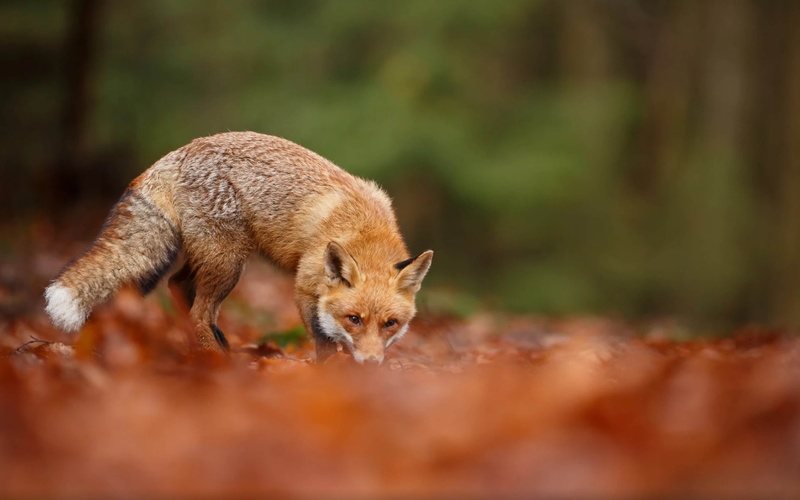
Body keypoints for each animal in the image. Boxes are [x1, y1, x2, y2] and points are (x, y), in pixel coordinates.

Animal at [44, 132, 433, 364]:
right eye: (354, 319)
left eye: (391, 324)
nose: (371, 363)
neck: (364, 231)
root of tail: (178, 153)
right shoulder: (305, 286)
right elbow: (324, 342)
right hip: (229, 263)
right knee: (199, 311)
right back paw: (219, 361)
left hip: (212, 257)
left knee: (178, 286)